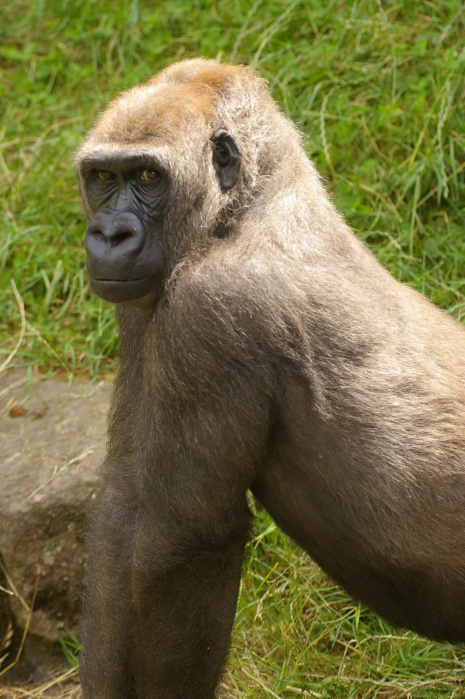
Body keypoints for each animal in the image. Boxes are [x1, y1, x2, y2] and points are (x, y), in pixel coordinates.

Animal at [74, 60, 464, 699]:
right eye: (103, 177)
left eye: (149, 176)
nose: (108, 235)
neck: (249, 206)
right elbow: (125, 505)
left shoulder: (213, 311)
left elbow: (178, 542)